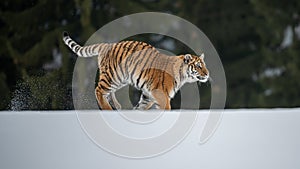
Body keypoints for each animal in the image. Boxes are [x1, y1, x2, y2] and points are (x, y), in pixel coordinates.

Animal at [63, 31, 209, 110]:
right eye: (198, 66)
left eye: (204, 65)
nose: (207, 74)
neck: (182, 75)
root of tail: (107, 45)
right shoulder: (161, 94)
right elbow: (166, 108)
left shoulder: (148, 95)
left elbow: (141, 107)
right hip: (113, 76)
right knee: (99, 90)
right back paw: (108, 109)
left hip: (120, 79)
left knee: (108, 93)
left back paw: (117, 106)